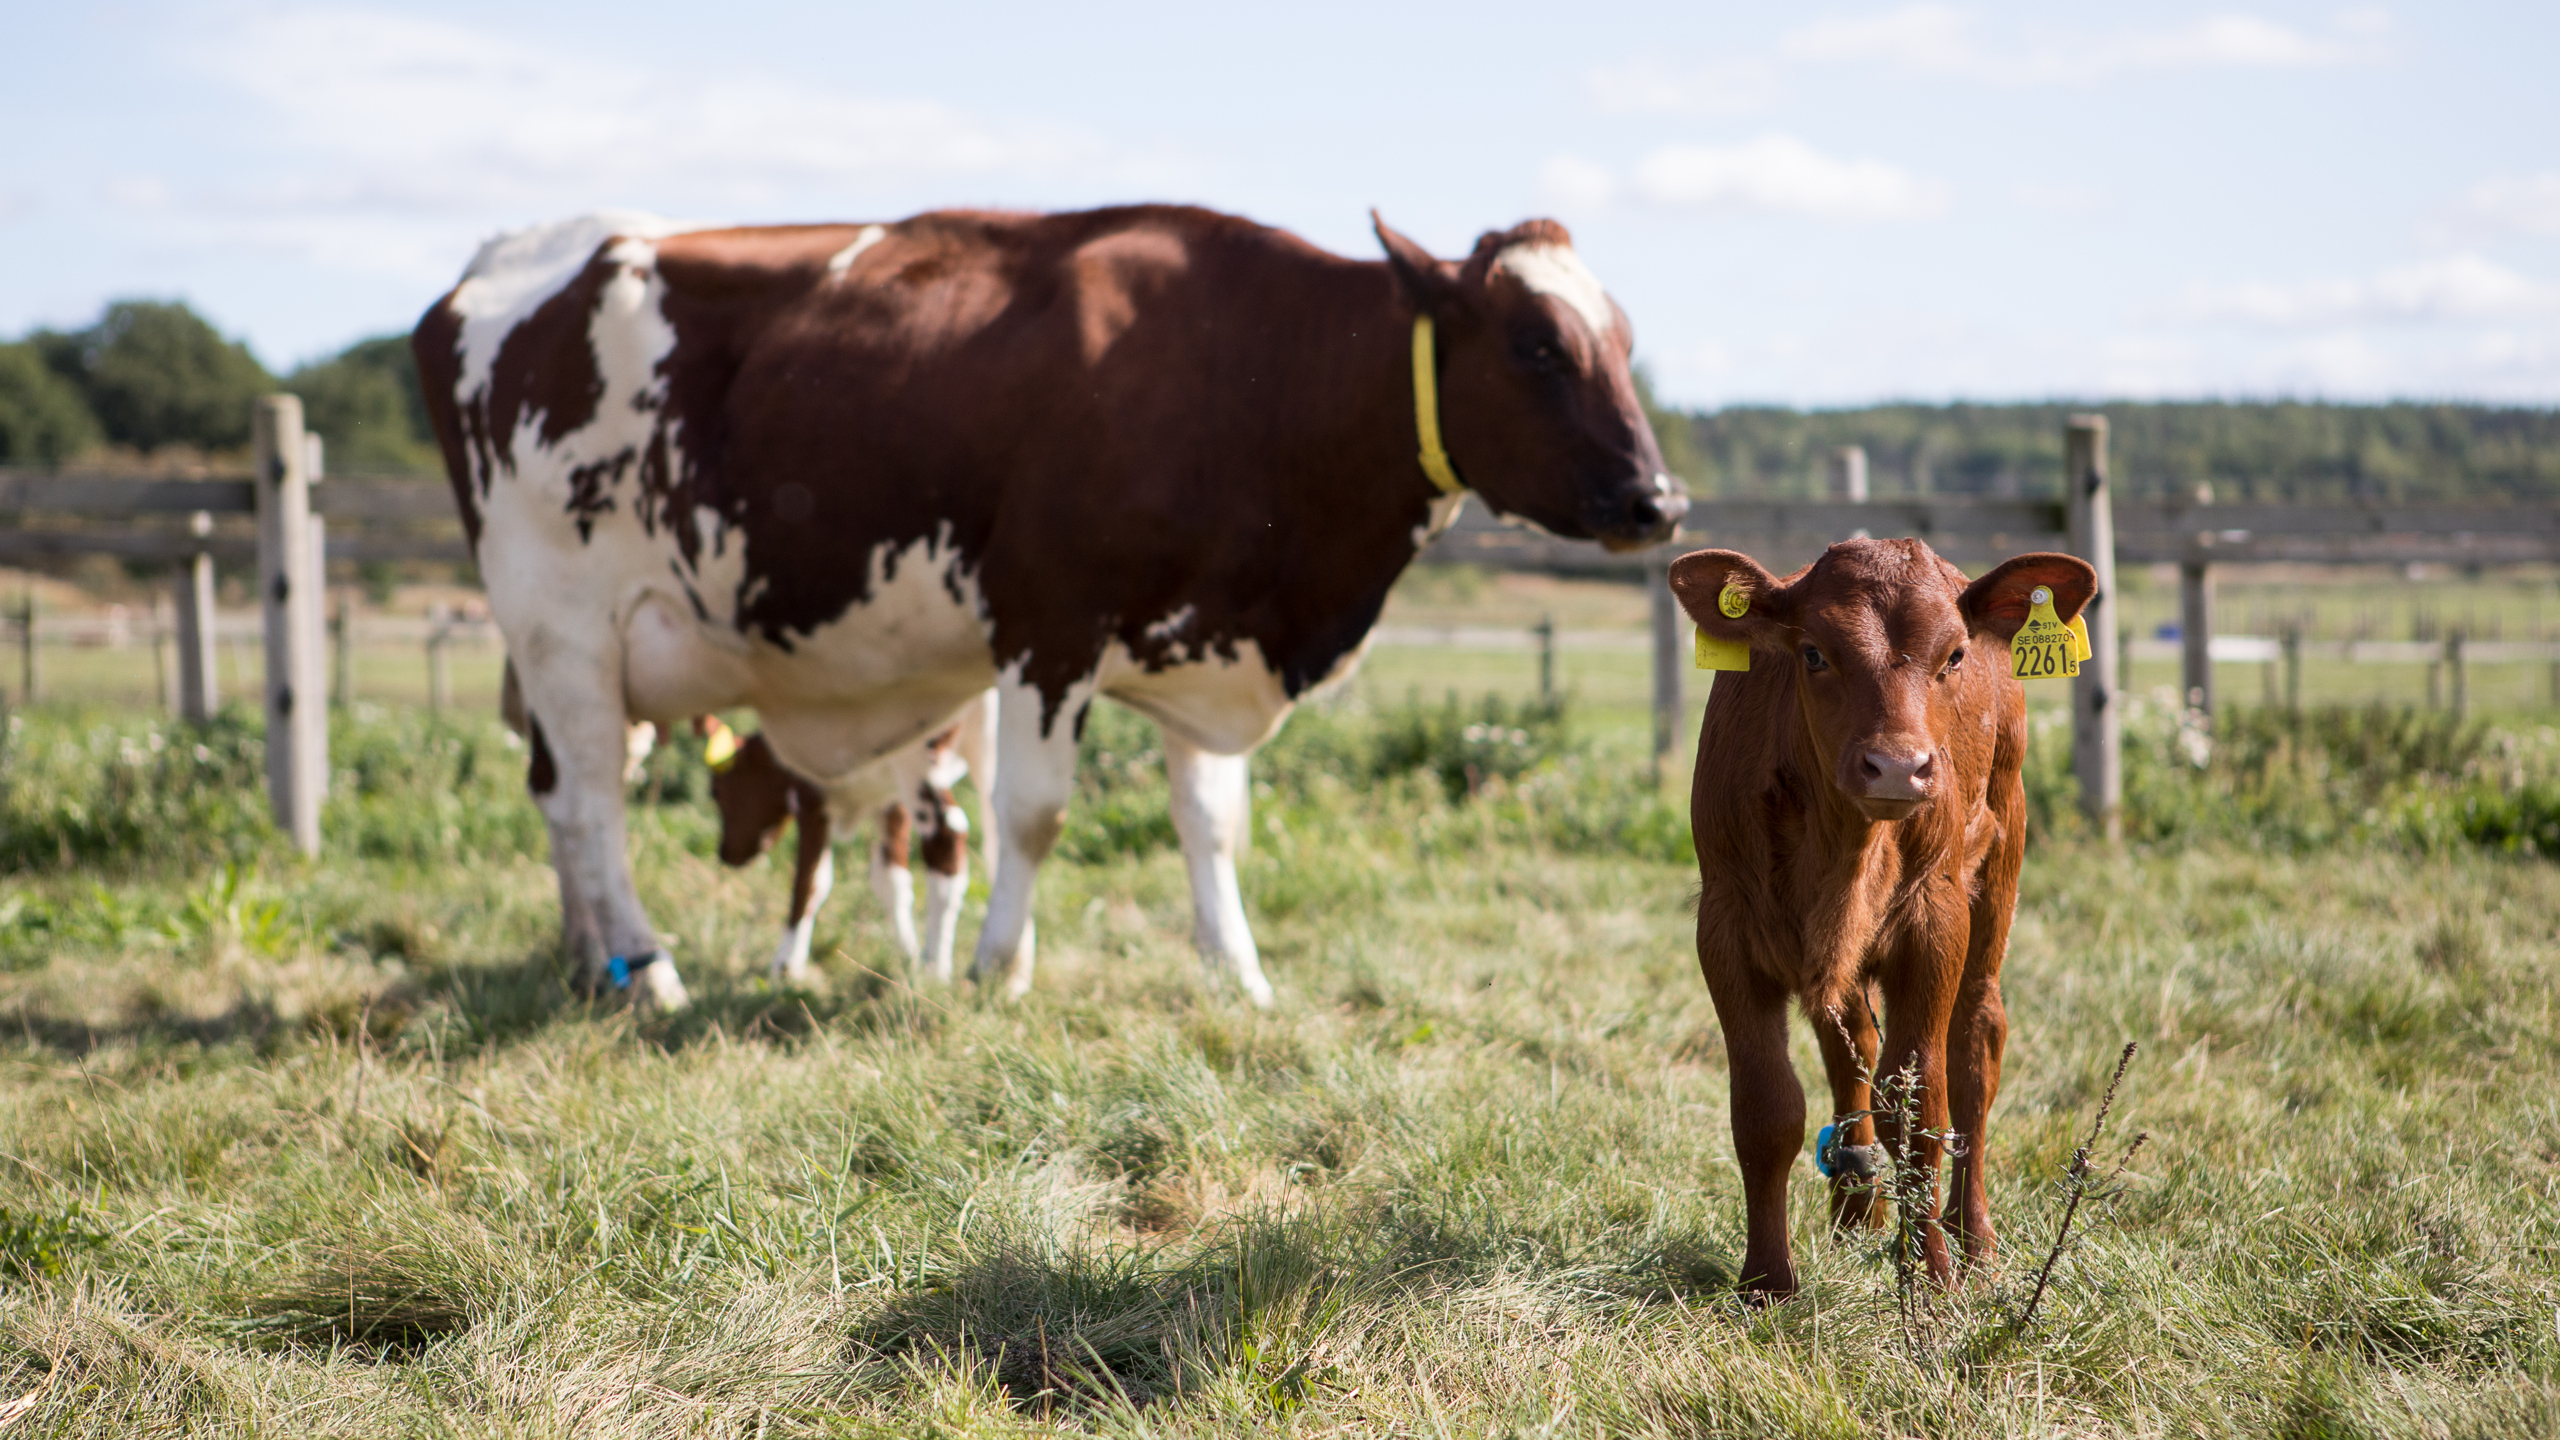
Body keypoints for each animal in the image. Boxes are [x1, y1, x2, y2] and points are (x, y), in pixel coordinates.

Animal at [699, 696, 991, 983]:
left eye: (715, 791)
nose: (725, 853)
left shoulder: (810, 797)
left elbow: (810, 881)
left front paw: (787, 964)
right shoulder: (892, 802)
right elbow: (891, 881)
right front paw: (908, 952)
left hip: (918, 757)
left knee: (948, 833)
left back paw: (936, 969)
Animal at [1667, 537, 2095, 1299]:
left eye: (1953, 655)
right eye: (1812, 653)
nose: (1896, 767)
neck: (1842, 850)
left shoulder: (1934, 923)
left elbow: (1921, 1106)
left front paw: (1931, 1276)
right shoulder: (1725, 927)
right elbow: (1767, 1109)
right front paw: (1767, 1280)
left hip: (2000, 866)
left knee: (1976, 1047)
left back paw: (1973, 1237)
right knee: (1856, 1048)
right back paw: (1857, 1208)